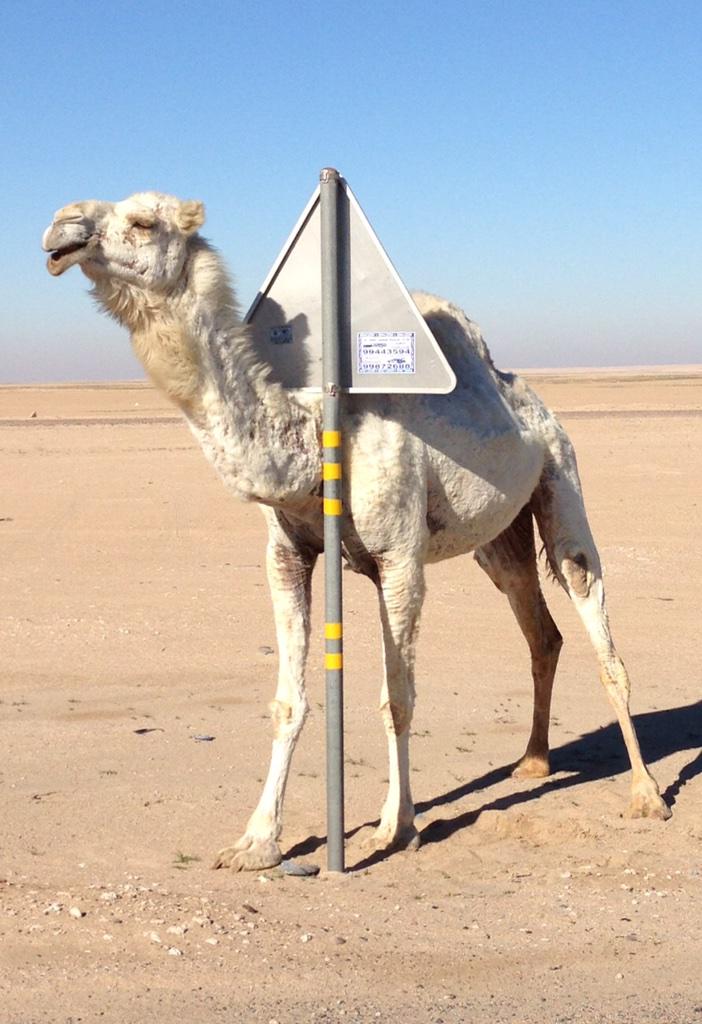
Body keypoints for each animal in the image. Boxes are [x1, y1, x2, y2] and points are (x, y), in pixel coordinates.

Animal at [42, 191, 670, 870]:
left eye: (142, 222)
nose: (60, 230)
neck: (313, 438)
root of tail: (532, 400)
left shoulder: (399, 558)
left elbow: (397, 696)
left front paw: (395, 828)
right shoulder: (287, 553)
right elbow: (289, 701)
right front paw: (256, 841)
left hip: (561, 478)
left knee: (592, 610)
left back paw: (645, 795)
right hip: (498, 539)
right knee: (541, 632)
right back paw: (531, 763)